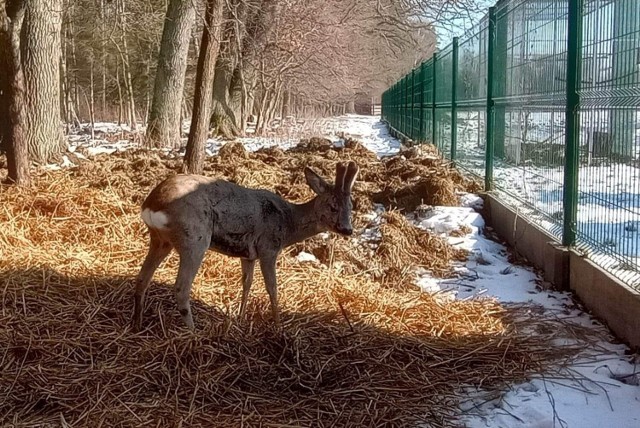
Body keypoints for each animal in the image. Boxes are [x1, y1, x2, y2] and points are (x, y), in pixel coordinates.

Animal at [133, 160, 360, 332]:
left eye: (351, 206)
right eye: (333, 206)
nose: (348, 229)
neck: (288, 223)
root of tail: (152, 204)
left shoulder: (248, 254)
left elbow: (247, 284)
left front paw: (241, 318)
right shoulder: (269, 247)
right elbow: (272, 288)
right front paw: (279, 327)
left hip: (160, 240)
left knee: (142, 277)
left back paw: (137, 323)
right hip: (194, 238)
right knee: (181, 287)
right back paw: (194, 333)